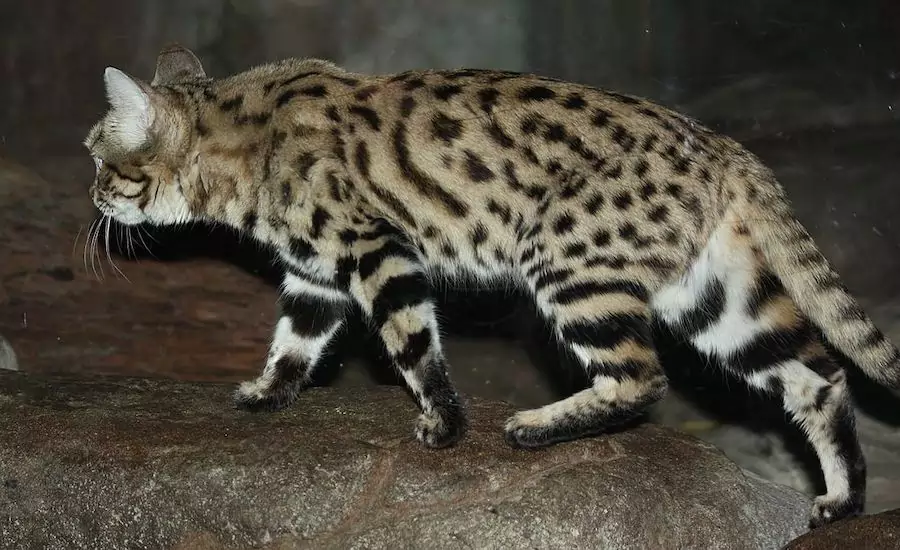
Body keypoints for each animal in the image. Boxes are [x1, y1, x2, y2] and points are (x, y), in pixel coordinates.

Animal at [86, 45, 900, 528]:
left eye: (98, 157)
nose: (92, 197)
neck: (233, 148)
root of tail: (722, 145)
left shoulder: (377, 249)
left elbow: (412, 344)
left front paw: (444, 425)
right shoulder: (315, 272)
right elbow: (295, 338)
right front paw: (267, 392)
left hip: (569, 264)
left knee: (643, 377)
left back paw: (536, 426)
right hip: (712, 294)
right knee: (819, 373)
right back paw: (844, 497)